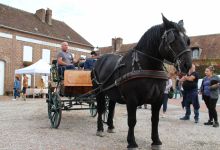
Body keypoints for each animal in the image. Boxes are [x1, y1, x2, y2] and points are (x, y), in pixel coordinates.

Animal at [91, 14, 191, 148]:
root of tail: (100, 60)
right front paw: (131, 142)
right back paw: (100, 129)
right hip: (99, 91)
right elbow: (132, 120)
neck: (146, 66)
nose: (187, 65)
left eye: (187, 40)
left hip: (112, 92)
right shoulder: (132, 100)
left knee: (111, 107)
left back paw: (111, 126)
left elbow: (155, 120)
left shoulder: (158, 99)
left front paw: (156, 141)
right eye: (172, 39)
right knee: (101, 108)